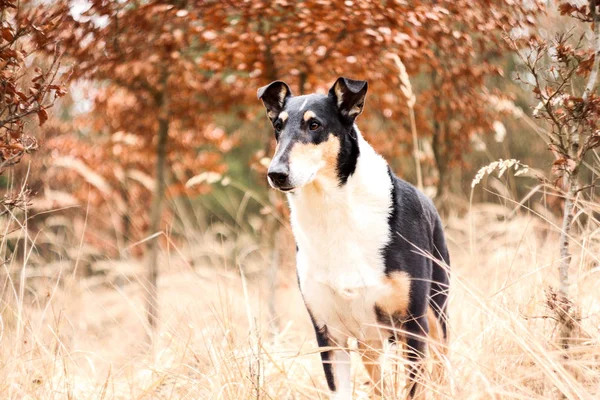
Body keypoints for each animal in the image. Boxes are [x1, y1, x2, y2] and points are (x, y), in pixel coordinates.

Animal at [258, 76, 450, 398]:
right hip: (369, 340)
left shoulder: (412, 325)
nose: (276, 174)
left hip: (435, 315)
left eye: (314, 125)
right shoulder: (329, 334)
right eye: (278, 126)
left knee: (441, 368)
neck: (333, 212)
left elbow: (414, 389)